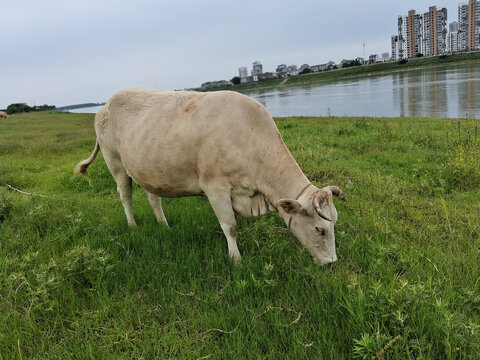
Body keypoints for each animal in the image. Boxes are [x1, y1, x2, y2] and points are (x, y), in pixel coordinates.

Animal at [75, 88, 346, 264]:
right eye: (320, 229)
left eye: (334, 223)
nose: (332, 262)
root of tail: (105, 105)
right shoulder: (215, 187)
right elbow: (230, 227)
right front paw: (235, 260)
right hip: (115, 162)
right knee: (125, 194)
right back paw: (132, 226)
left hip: (149, 169)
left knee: (154, 198)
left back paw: (164, 225)